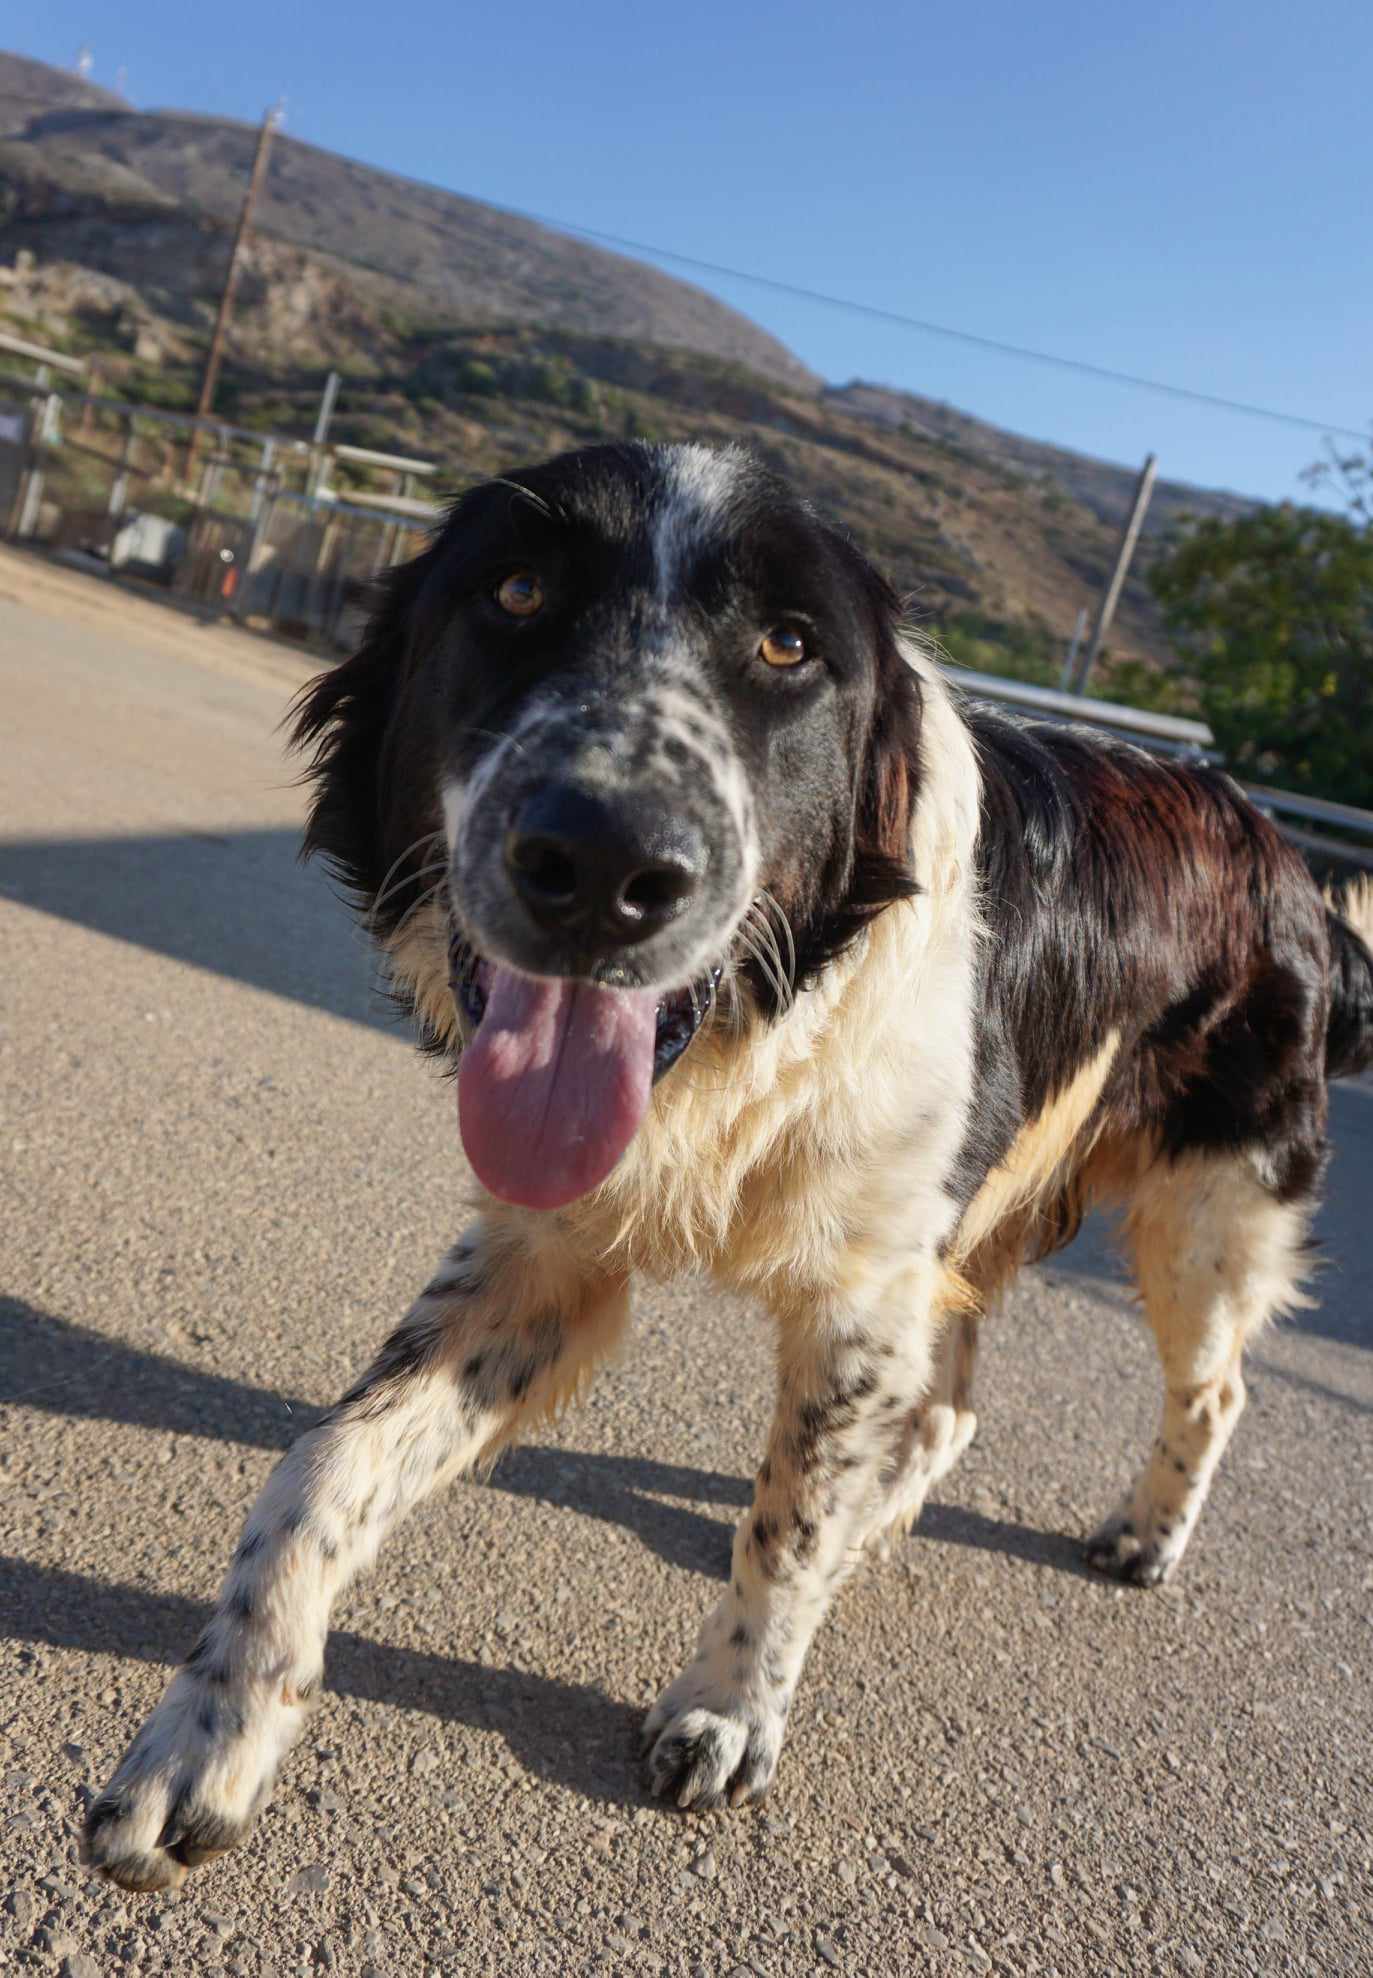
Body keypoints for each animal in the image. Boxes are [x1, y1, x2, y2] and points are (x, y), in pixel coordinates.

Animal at [84, 441, 1373, 1891]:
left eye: (787, 644)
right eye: (516, 591)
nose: (603, 865)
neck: (742, 1040)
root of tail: (1292, 865)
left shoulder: (859, 1296)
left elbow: (786, 1519)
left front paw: (729, 1707)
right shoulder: (542, 1262)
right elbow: (317, 1466)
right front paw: (203, 1734)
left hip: (1201, 1207)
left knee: (1210, 1391)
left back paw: (1142, 1535)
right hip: (970, 1225)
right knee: (950, 1406)